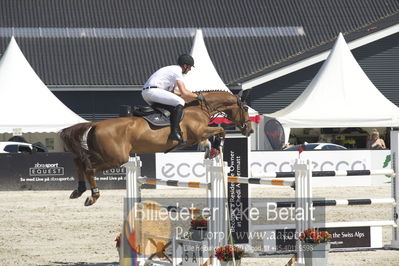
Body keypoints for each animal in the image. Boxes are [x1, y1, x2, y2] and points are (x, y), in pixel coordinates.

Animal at [59, 91, 253, 206]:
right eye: (245, 107)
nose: (249, 130)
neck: (199, 108)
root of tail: (95, 124)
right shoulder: (198, 132)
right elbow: (220, 130)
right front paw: (216, 146)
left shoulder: (198, 135)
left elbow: (209, 138)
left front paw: (210, 149)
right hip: (115, 158)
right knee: (89, 168)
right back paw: (93, 196)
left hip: (103, 154)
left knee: (79, 162)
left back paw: (78, 190)